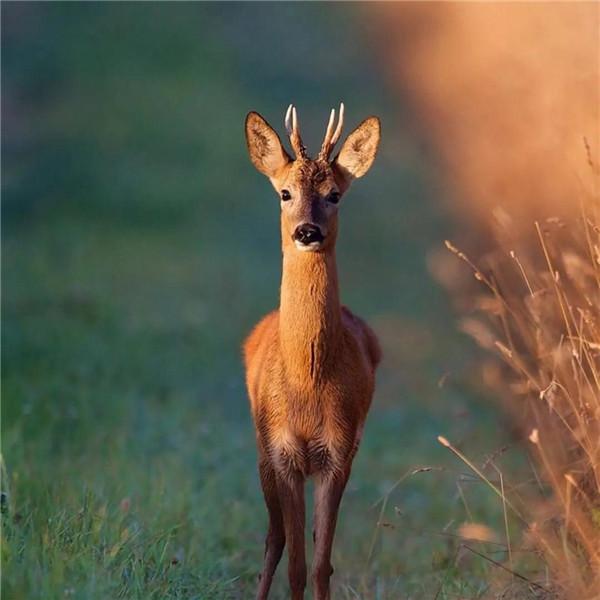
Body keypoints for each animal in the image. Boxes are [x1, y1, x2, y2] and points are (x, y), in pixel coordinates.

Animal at [243, 104, 380, 600]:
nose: (307, 231)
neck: (308, 380)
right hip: (260, 450)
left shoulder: (338, 453)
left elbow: (321, 565)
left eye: (334, 194)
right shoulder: (283, 451)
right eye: (284, 192)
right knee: (274, 537)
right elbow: (297, 564)